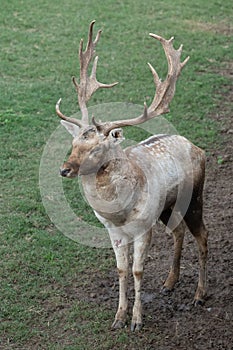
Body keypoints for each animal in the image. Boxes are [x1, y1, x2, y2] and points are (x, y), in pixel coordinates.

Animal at [55, 20, 208, 332]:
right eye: (74, 143)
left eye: (96, 148)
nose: (65, 169)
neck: (119, 213)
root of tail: (196, 146)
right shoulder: (112, 231)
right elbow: (121, 269)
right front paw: (118, 317)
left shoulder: (143, 226)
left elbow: (137, 270)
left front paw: (137, 320)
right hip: (168, 206)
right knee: (178, 231)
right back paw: (169, 282)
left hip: (195, 196)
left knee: (203, 236)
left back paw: (200, 295)